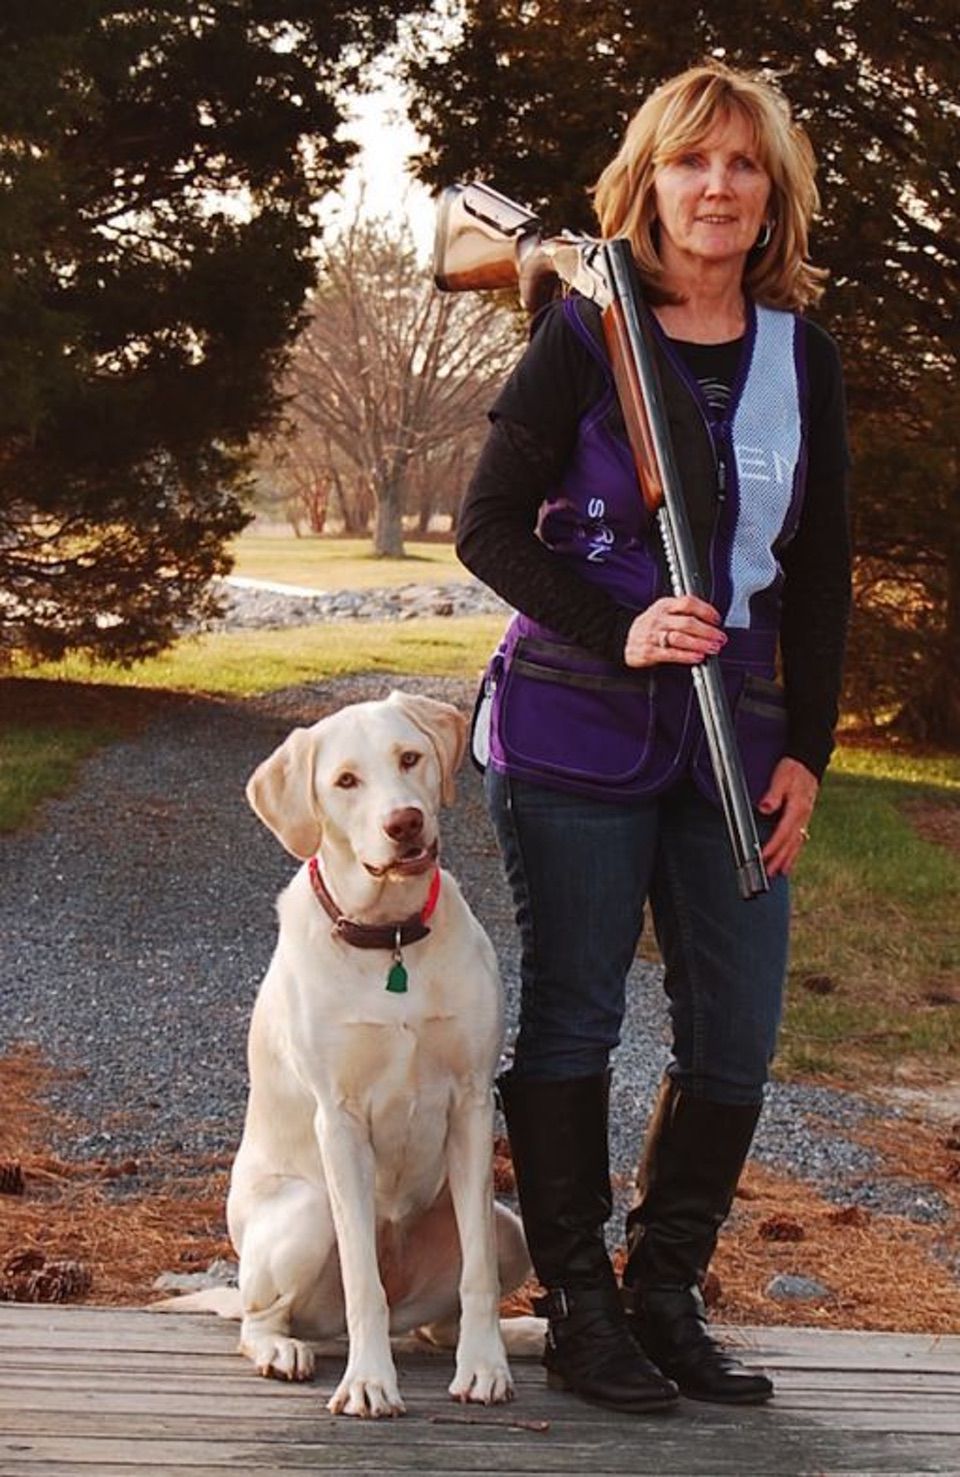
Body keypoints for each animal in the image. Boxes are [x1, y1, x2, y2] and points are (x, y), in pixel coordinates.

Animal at [220, 691, 525, 1417]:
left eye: (409, 758)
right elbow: (364, 1278)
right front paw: (368, 1381)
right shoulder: (340, 1120)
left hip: (512, 1226)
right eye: (345, 781)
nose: (404, 822)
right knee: (259, 1316)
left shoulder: (474, 1103)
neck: (391, 937)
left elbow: (478, 1273)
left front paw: (485, 1366)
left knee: (446, 1312)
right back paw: (283, 1350)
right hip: (304, 1217)